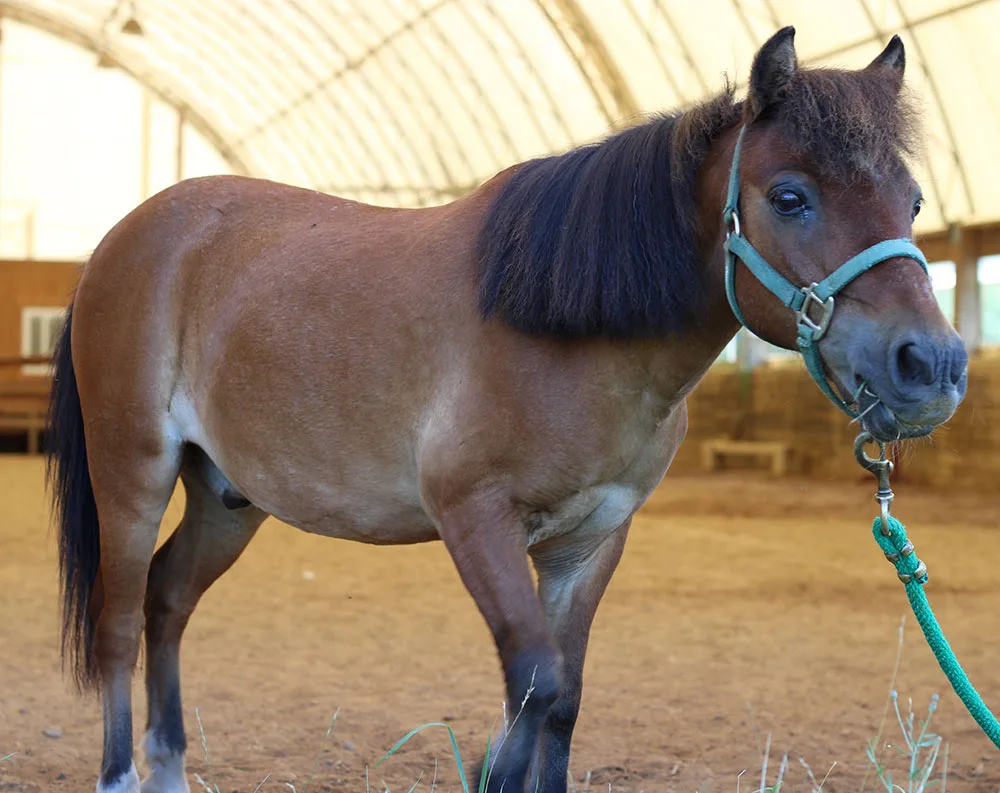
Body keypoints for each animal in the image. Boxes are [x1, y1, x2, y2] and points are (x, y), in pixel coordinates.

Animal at [50, 27, 964, 792]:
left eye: (915, 202)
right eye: (790, 197)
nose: (934, 365)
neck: (567, 329)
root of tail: (125, 239)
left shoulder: (589, 540)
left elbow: (562, 697)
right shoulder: (475, 515)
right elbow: (533, 681)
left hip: (229, 496)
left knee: (168, 599)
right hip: (132, 473)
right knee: (120, 619)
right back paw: (121, 775)